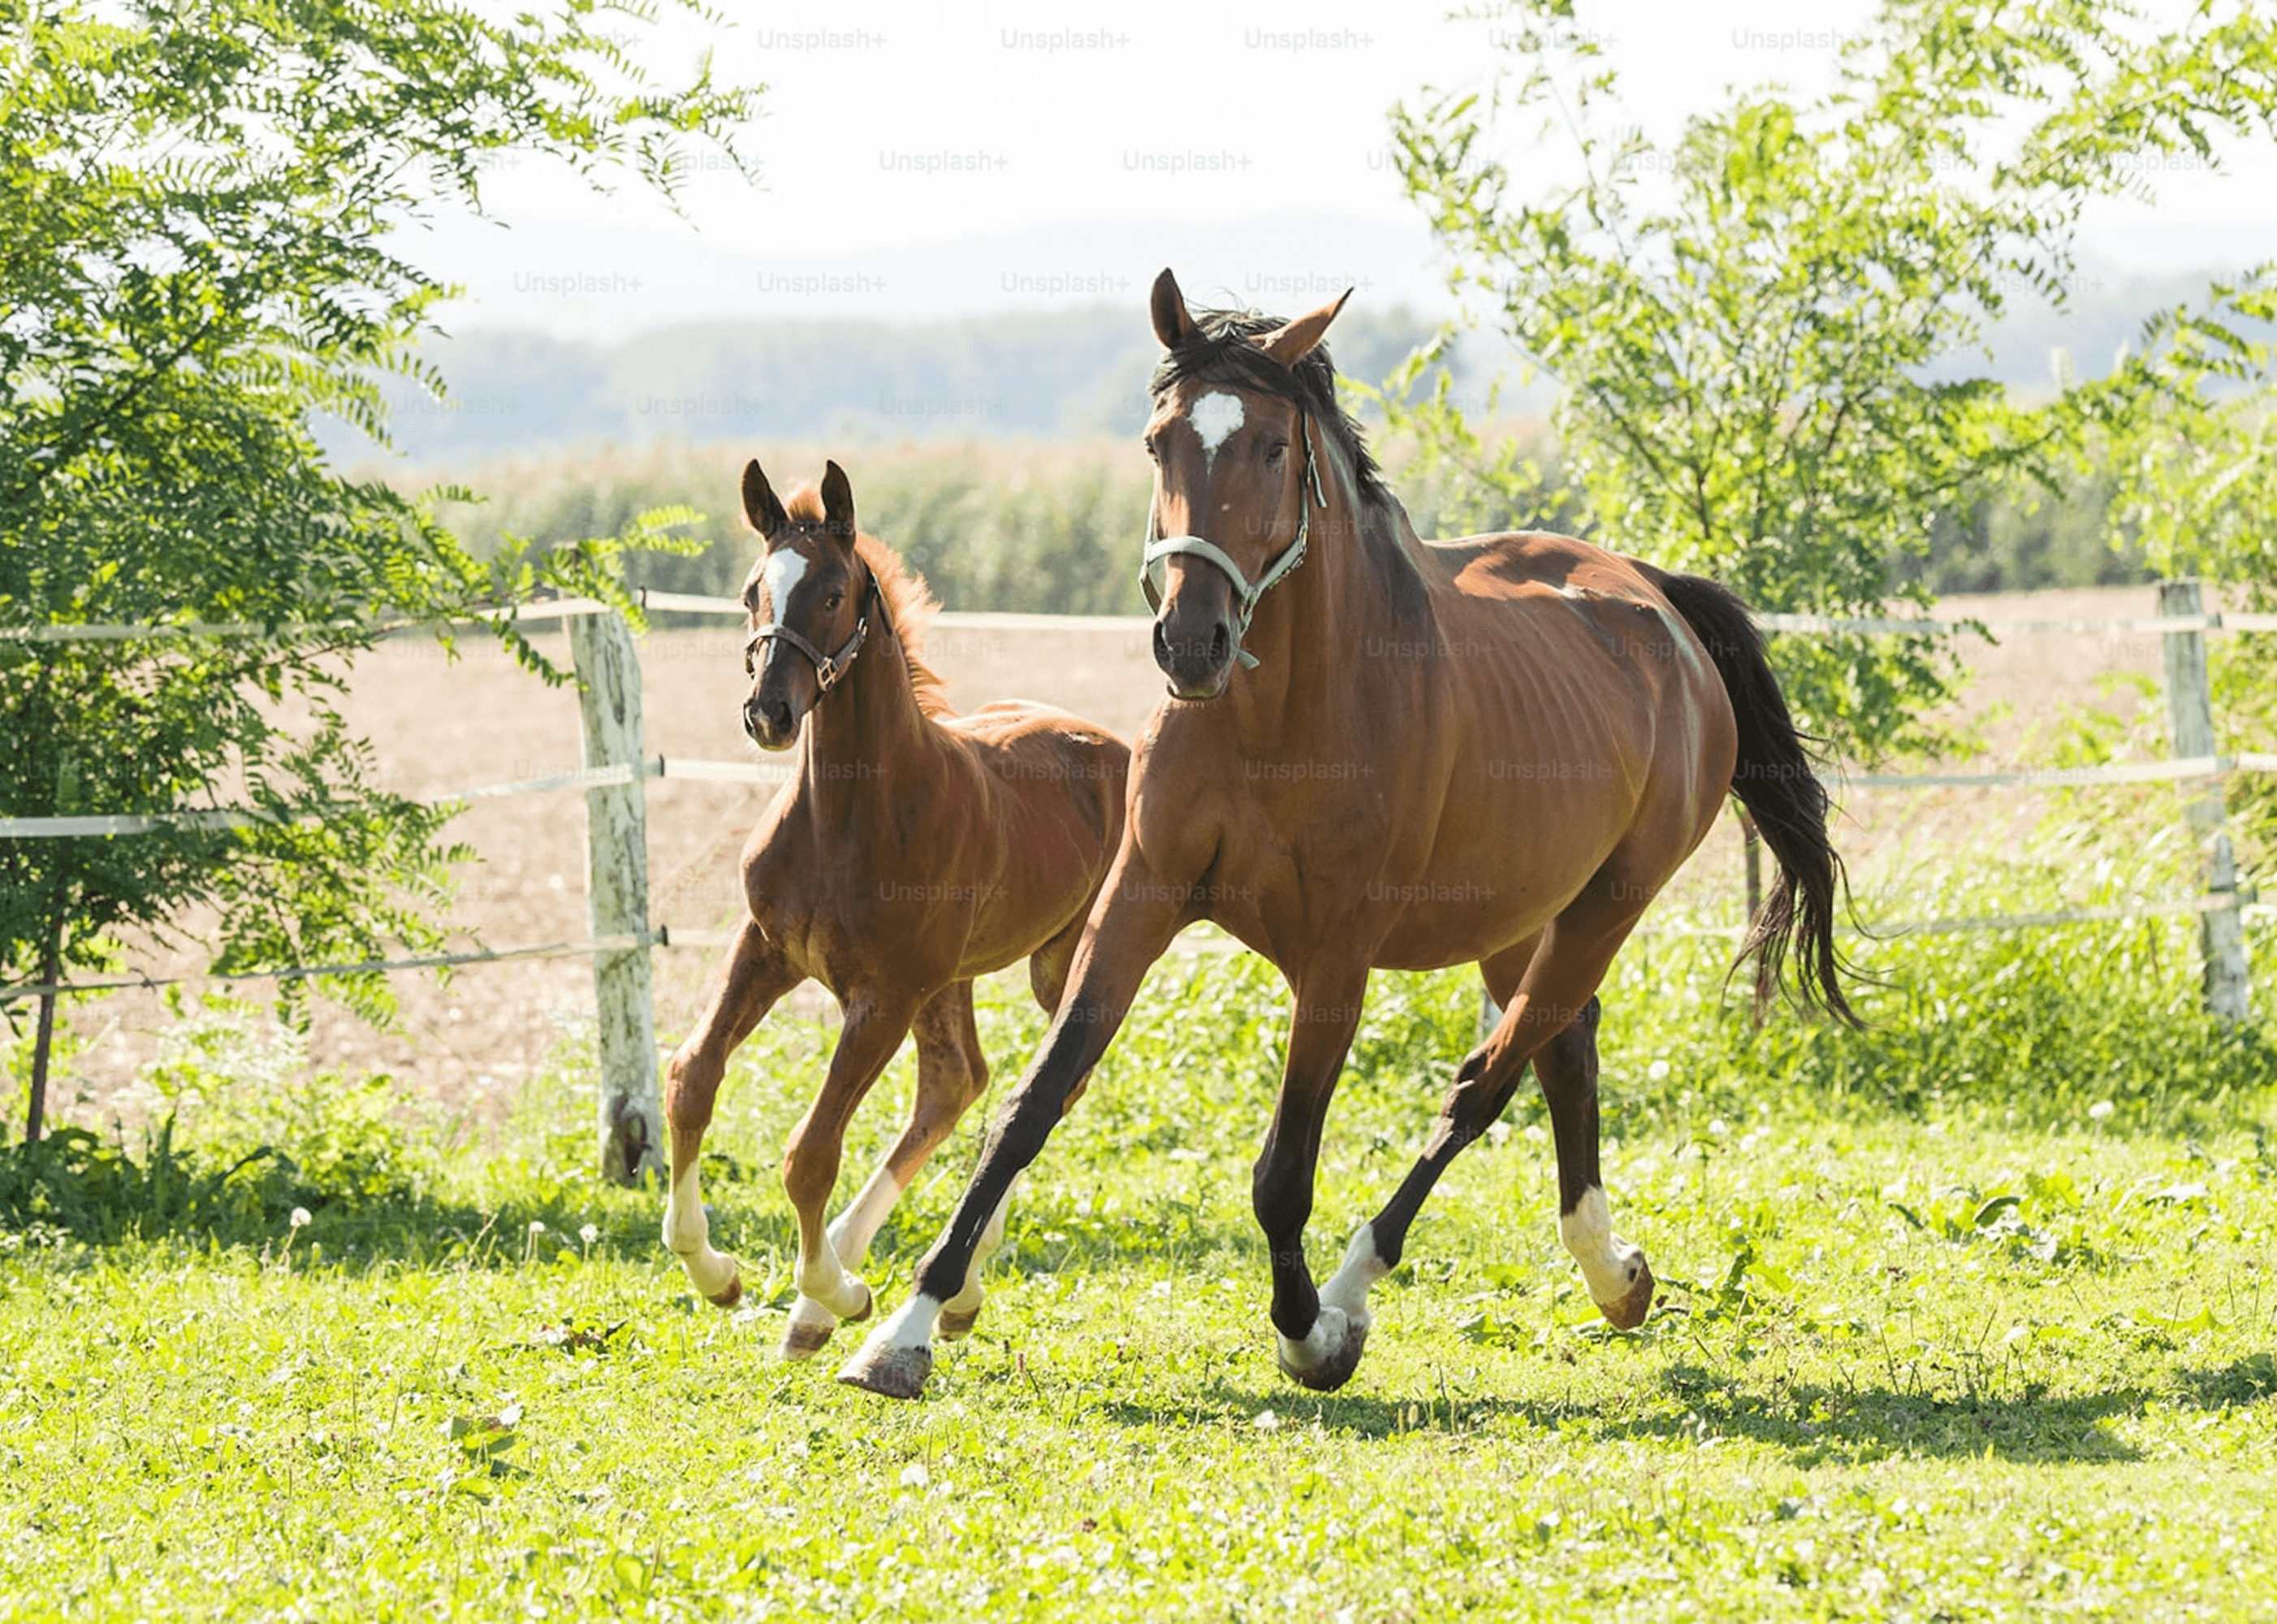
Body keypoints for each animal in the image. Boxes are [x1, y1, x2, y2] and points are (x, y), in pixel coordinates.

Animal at [660, 457, 1130, 1360]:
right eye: (750, 591)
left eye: (834, 593)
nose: (768, 713)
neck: (847, 817)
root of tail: (1119, 746)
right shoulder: (764, 946)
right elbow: (691, 1079)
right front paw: (715, 1271)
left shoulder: (883, 995)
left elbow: (809, 1150)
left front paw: (834, 1292)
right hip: (950, 978)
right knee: (957, 1083)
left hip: (1055, 965)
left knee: (1048, 1085)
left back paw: (929, 1287)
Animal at [838, 270, 1854, 1400]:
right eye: (1157, 441)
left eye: (1272, 448)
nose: (1191, 642)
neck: (1275, 720)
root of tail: (1655, 601)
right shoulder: (1138, 898)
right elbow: (1031, 1104)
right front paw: (906, 1328)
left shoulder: (1336, 955)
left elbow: (1282, 1171)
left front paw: (1307, 1332)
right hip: (1518, 916)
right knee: (1562, 1052)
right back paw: (1611, 1272)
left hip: (1605, 907)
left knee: (1485, 1080)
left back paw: (1364, 1288)